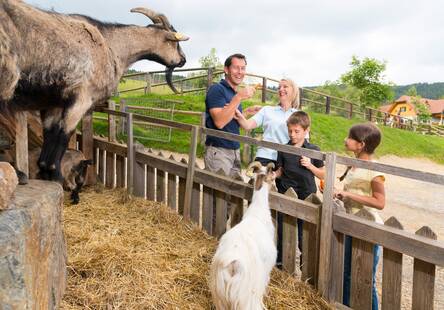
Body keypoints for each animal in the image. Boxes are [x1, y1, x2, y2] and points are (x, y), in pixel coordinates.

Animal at [0, 0, 188, 183]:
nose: (183, 60)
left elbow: (50, 132)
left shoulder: (55, 103)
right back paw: (19, 175)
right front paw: (56, 175)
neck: (111, 45)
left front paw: (44, 170)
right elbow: (64, 133)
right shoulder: (82, 98)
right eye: (175, 41)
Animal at [209, 161, 278, 308]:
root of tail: (231, 263)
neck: (258, 211)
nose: (276, 188)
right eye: (273, 178)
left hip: (220, 293)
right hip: (245, 295)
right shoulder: (265, 271)